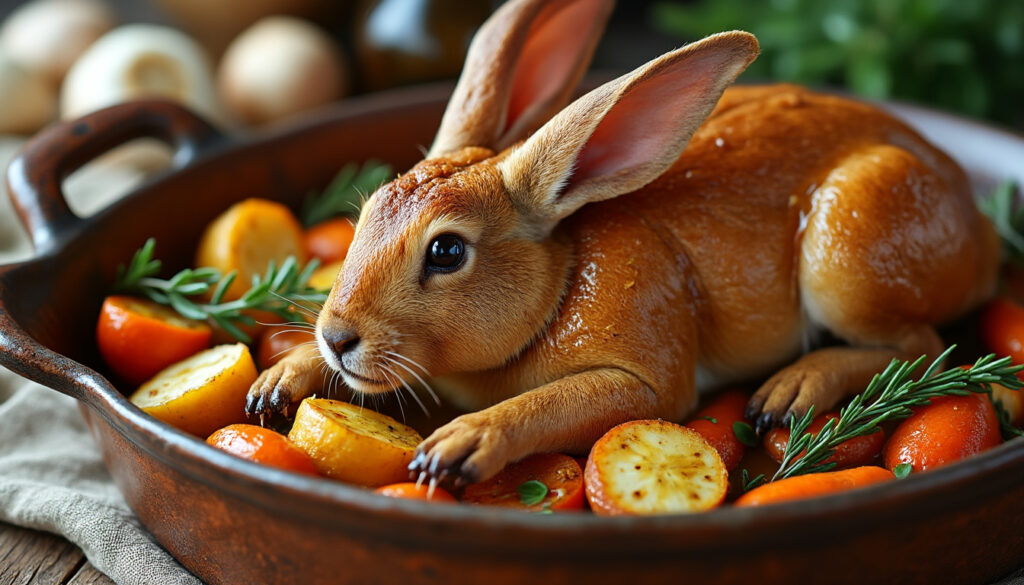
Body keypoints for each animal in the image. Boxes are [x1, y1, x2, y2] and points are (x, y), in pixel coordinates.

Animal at [246, 0, 999, 485]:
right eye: (368, 211)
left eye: (447, 252)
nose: (337, 336)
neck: (558, 281)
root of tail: (978, 229)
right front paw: (282, 379)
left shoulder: (643, 382)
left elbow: (555, 404)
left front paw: (464, 441)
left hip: (849, 249)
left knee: (919, 344)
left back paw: (796, 385)